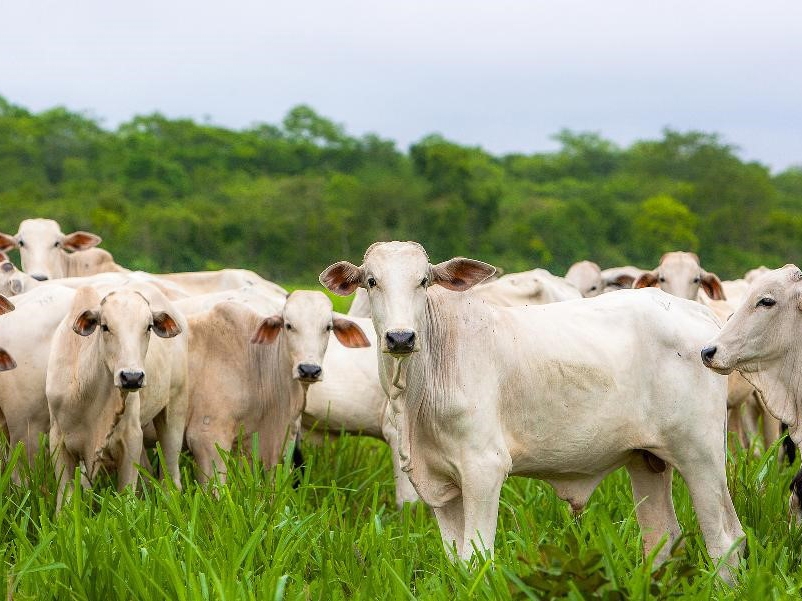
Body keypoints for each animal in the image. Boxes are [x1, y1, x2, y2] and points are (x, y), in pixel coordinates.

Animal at [47, 282, 188, 506]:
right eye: (105, 326)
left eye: (148, 327)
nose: (132, 377)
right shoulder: (58, 440)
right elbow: (66, 498)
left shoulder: (131, 438)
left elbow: (126, 496)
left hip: (175, 408)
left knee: (171, 477)